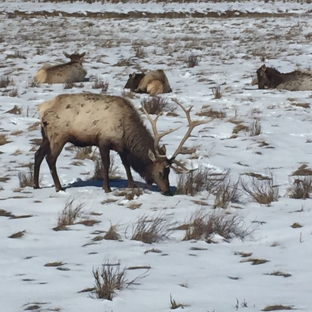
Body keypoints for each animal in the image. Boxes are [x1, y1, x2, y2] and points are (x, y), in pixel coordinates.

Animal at [33, 92, 210, 195]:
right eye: (161, 172)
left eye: (169, 172)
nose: (167, 191)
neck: (126, 132)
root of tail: (42, 108)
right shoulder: (103, 141)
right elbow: (106, 164)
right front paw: (107, 188)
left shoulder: (121, 147)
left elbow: (126, 164)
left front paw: (132, 184)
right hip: (58, 135)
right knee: (50, 158)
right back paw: (59, 187)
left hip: (45, 135)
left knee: (37, 155)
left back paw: (36, 185)